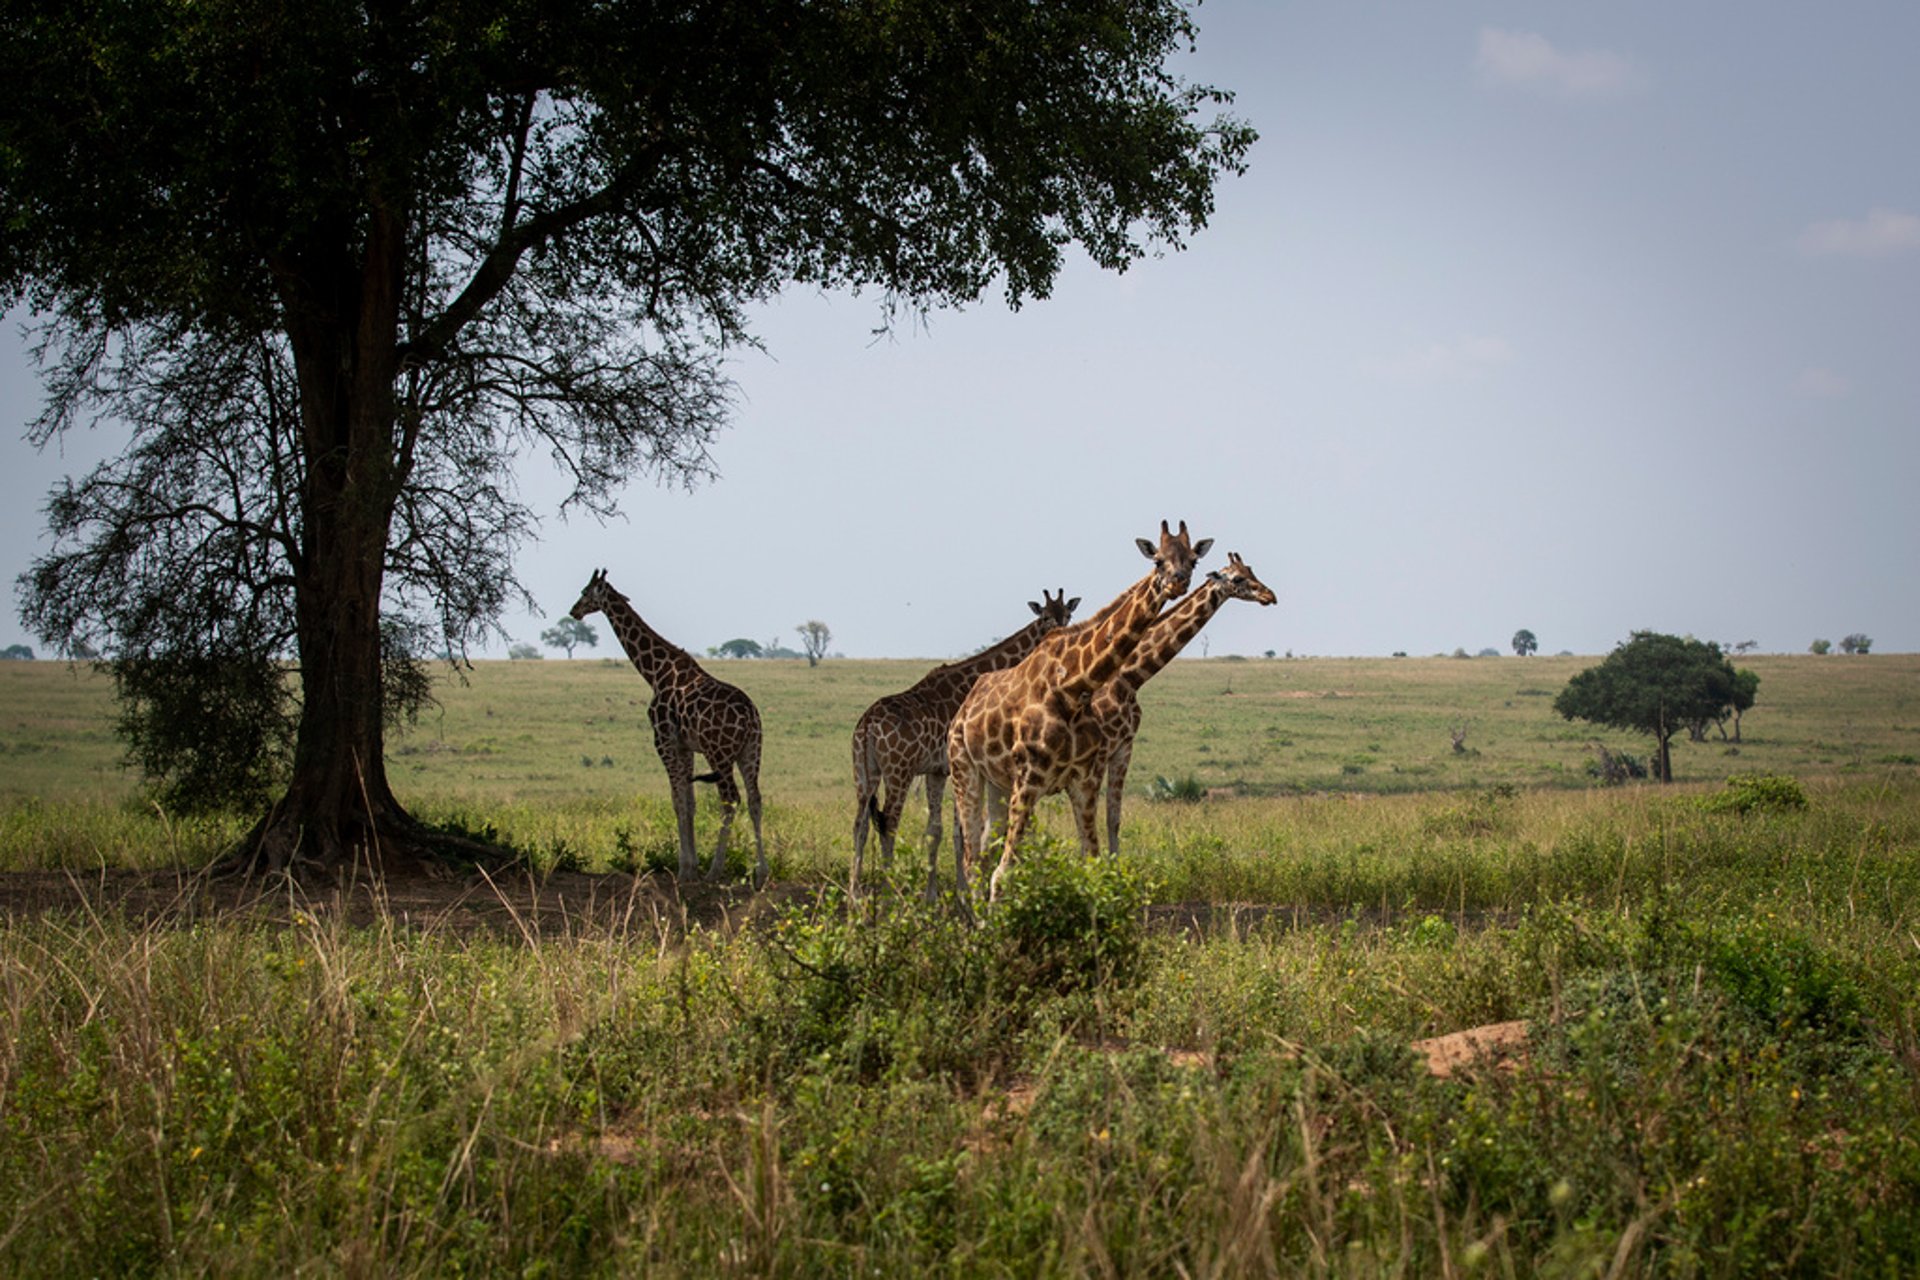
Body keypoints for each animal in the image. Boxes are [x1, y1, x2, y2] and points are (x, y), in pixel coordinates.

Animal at [560, 571, 764, 882]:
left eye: (585, 592)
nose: (574, 611)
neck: (656, 673)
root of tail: (751, 717)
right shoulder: (686, 746)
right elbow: (689, 803)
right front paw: (691, 866)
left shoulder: (663, 741)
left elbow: (677, 800)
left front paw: (685, 868)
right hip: (750, 751)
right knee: (755, 800)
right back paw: (761, 871)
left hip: (719, 753)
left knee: (731, 800)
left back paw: (715, 871)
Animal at [852, 587, 1082, 890]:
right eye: (1044, 617)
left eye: (1068, 614)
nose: (1060, 634)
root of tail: (866, 726)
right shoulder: (957, 764)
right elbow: (962, 831)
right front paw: (963, 890)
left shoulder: (937, 770)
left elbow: (938, 831)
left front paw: (934, 895)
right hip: (898, 771)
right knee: (888, 822)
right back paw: (890, 890)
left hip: (864, 771)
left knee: (860, 825)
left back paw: (853, 894)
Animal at [948, 518, 1205, 901]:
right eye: (1158, 560)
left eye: (1193, 561)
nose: (1178, 581)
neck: (1072, 689)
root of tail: (962, 712)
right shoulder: (1030, 777)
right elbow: (1005, 873)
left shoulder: (1082, 778)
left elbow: (1092, 863)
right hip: (964, 769)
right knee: (972, 860)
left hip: (997, 781)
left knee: (982, 851)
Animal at [1090, 556, 1282, 855]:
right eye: (1237, 578)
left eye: (1252, 571)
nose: (1269, 595)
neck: (1129, 679)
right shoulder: (1098, 751)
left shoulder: (1124, 746)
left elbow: (1114, 817)